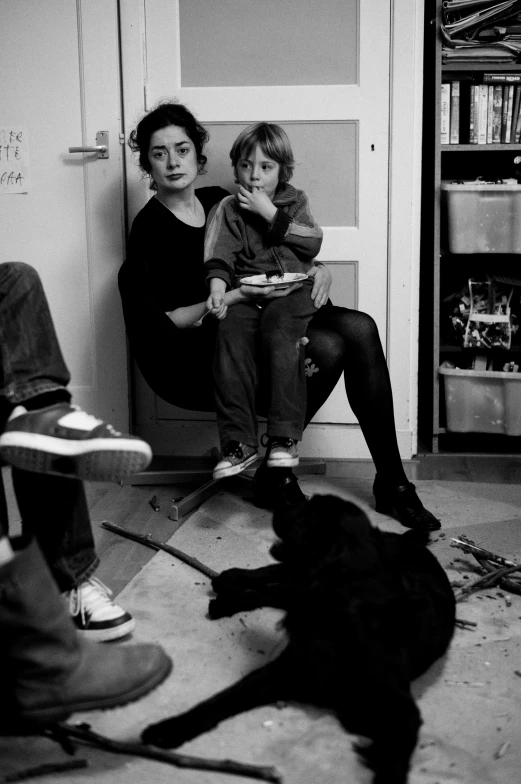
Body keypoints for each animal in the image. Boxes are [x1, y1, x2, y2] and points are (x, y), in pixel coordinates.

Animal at [143, 496, 456, 784]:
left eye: (311, 507)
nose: (281, 500)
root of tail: (404, 539)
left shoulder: (399, 708)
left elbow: (395, 763)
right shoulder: (288, 667)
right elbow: (223, 698)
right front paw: (169, 728)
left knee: (274, 588)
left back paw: (228, 595)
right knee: (273, 579)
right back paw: (230, 582)